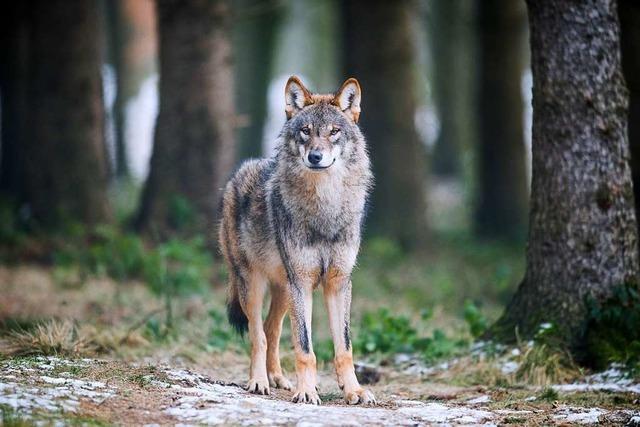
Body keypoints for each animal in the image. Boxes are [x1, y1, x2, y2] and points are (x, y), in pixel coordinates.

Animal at [219, 75, 376, 406]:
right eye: (306, 131)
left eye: (334, 132)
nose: (315, 156)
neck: (325, 207)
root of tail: (236, 174)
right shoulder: (302, 283)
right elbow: (305, 348)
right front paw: (307, 391)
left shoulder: (338, 283)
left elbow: (344, 347)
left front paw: (353, 391)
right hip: (254, 285)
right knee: (258, 334)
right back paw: (258, 381)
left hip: (283, 291)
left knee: (272, 330)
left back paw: (278, 378)